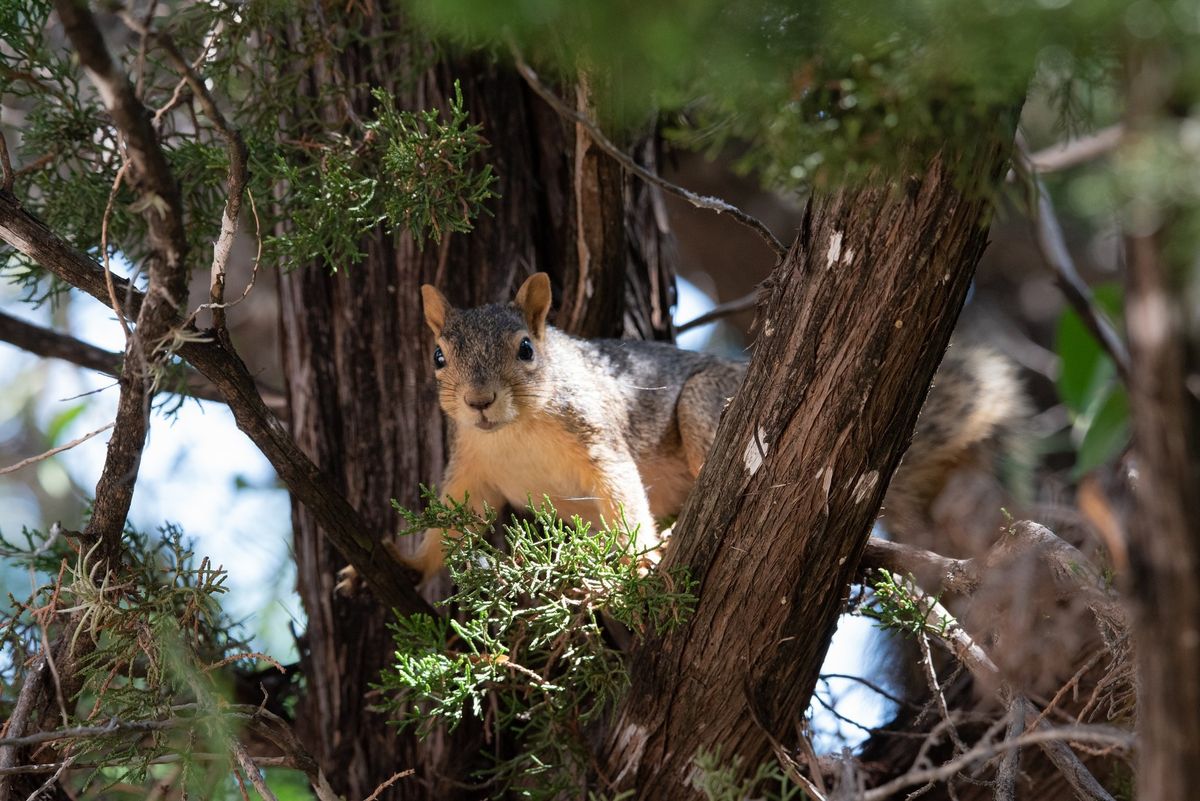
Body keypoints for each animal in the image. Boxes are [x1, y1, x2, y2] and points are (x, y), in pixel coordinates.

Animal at [403, 270, 1032, 582]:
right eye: (438, 357)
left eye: (527, 349)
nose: (480, 401)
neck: (515, 431)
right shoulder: (473, 471)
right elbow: (453, 522)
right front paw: (409, 562)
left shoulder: (599, 440)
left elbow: (623, 494)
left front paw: (641, 557)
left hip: (708, 404)